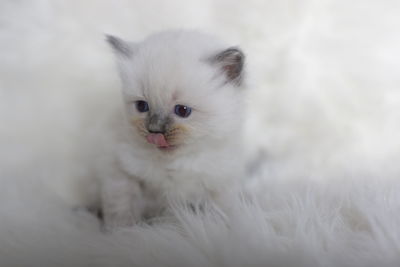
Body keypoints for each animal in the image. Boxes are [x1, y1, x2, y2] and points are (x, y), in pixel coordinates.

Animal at [100, 30, 247, 228]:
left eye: (182, 110)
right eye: (142, 106)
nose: (154, 130)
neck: (174, 164)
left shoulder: (220, 183)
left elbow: (222, 212)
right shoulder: (120, 170)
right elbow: (122, 208)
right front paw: (123, 230)